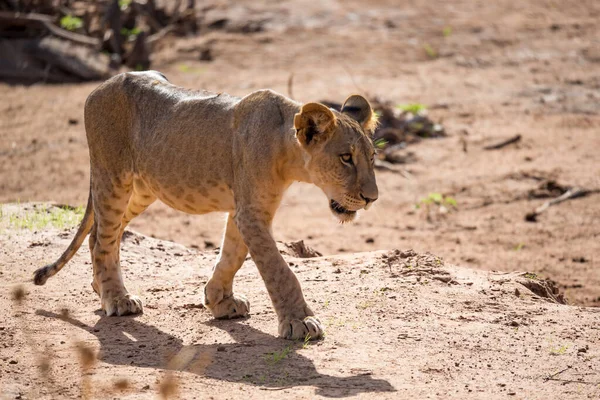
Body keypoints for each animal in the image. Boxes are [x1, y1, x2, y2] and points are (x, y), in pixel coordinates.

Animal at [32, 70, 378, 340]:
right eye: (345, 158)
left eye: (372, 157)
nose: (371, 198)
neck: (287, 151)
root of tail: (104, 84)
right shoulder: (251, 213)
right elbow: (278, 269)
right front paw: (299, 321)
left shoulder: (247, 210)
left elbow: (232, 255)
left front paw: (219, 302)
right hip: (112, 176)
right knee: (104, 238)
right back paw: (117, 300)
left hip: (143, 189)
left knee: (101, 234)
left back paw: (101, 289)